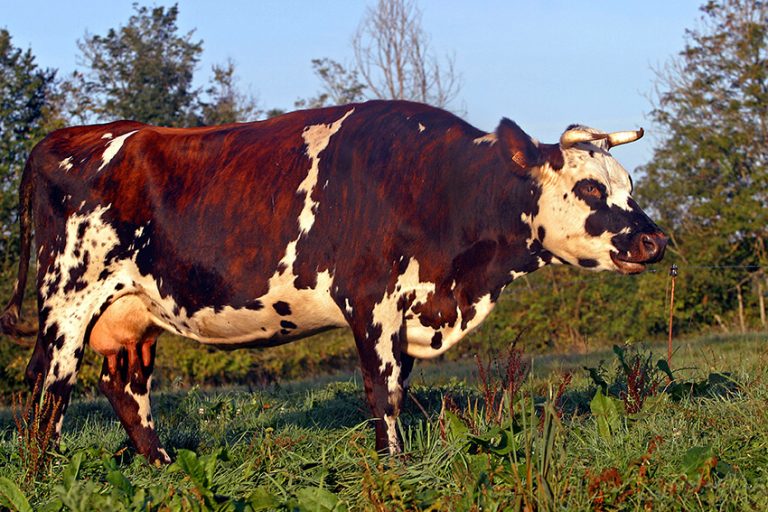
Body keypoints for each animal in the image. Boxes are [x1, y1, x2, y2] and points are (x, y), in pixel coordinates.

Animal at [0, 100, 666, 464]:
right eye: (589, 187)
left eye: (630, 184)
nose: (653, 241)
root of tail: (67, 137)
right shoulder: (371, 303)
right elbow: (381, 393)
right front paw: (395, 467)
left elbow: (399, 390)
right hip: (66, 303)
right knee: (44, 393)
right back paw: (40, 476)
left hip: (132, 315)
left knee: (124, 388)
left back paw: (165, 466)